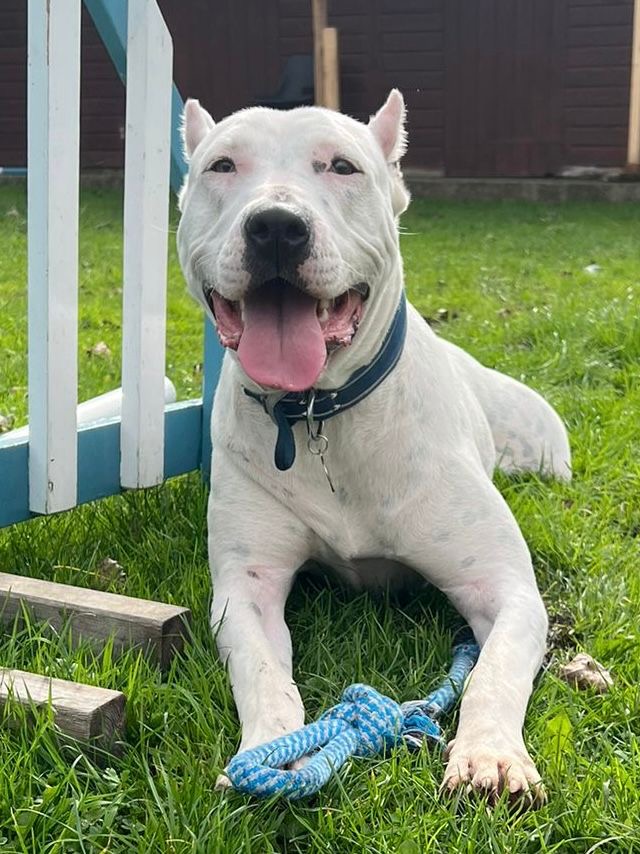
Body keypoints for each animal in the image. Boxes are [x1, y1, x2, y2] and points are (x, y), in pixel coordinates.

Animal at [176, 90, 568, 804]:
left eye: (342, 166)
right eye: (222, 165)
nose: (276, 226)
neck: (319, 414)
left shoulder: (506, 589)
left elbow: (493, 670)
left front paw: (491, 755)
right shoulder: (246, 590)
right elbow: (263, 675)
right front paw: (276, 752)